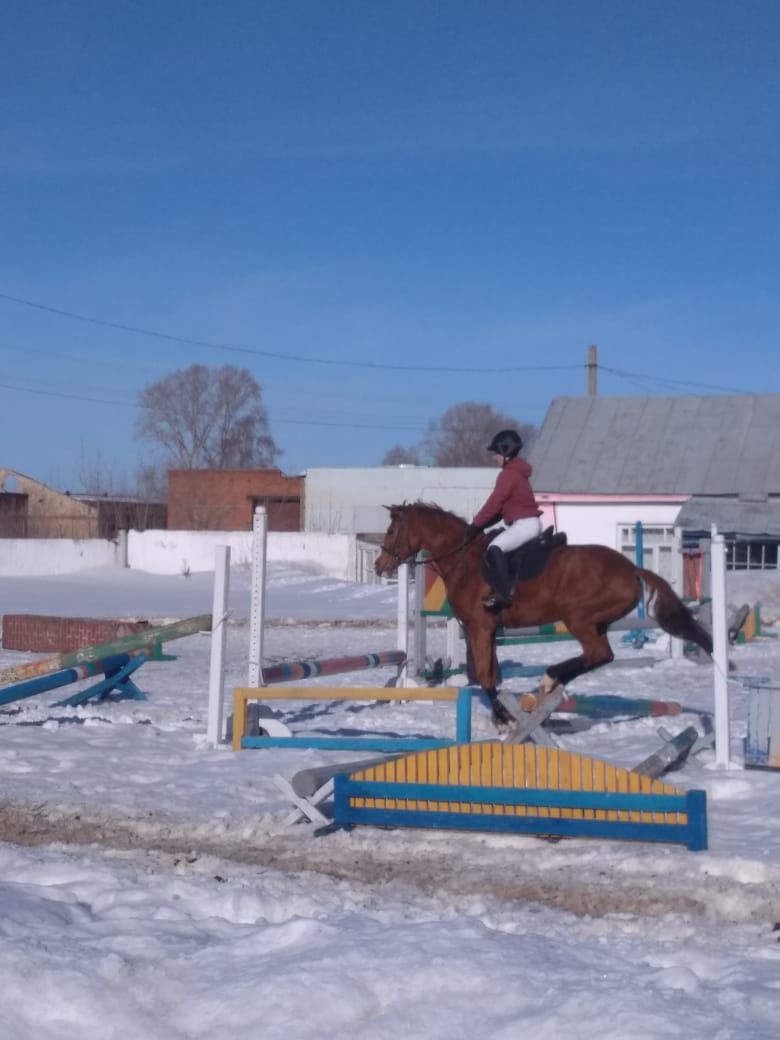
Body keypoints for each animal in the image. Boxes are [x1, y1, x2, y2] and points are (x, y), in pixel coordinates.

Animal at [378, 503, 715, 732]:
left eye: (392, 530)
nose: (379, 566)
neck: (463, 559)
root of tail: (631, 568)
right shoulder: (486, 630)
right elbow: (493, 675)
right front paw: (503, 715)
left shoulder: (479, 626)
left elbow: (486, 676)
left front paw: (503, 719)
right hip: (597, 622)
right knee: (600, 655)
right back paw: (552, 684)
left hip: (579, 618)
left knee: (598, 654)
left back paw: (549, 678)